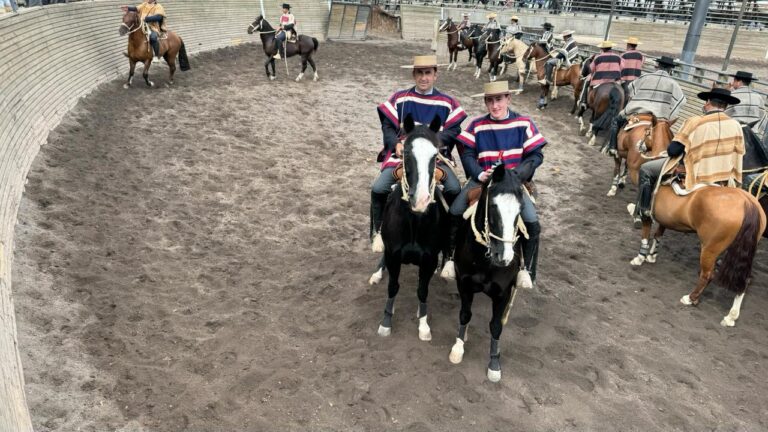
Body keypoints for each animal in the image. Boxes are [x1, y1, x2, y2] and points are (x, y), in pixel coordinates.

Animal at [372, 114, 450, 340]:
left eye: (435, 155)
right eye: (406, 152)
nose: (421, 200)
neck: (414, 222)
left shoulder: (429, 260)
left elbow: (422, 291)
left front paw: (423, 324)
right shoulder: (393, 255)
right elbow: (393, 287)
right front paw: (386, 322)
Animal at [448, 164, 532, 384]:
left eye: (520, 209)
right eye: (493, 206)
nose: (504, 257)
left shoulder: (503, 294)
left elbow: (495, 326)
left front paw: (494, 362)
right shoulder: (464, 284)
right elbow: (465, 314)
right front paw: (458, 347)